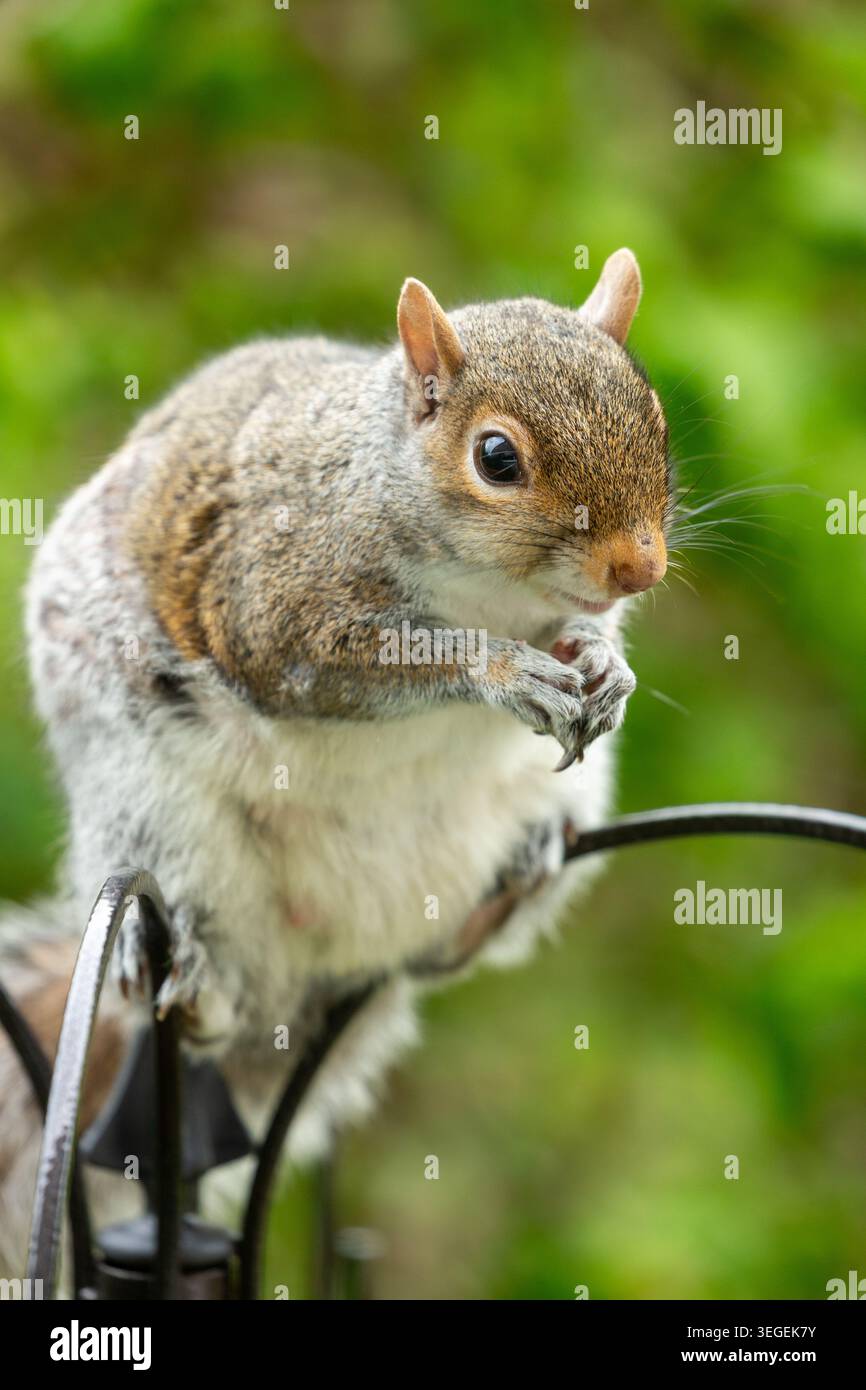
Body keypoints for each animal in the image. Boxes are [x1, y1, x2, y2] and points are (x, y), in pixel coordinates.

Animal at [0, 248, 671, 1275]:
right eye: (497, 458)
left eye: (657, 418)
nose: (640, 568)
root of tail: (320, 960)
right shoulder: (276, 596)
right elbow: (351, 659)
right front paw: (504, 670)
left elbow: (585, 638)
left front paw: (605, 662)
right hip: (150, 800)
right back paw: (194, 976)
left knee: (446, 950)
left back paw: (518, 874)